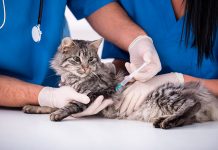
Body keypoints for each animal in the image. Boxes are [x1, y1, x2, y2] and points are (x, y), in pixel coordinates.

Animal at [22, 37, 218, 129]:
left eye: (91, 59)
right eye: (77, 59)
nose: (86, 67)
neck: (75, 80)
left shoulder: (96, 94)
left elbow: (70, 105)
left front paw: (57, 114)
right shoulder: (66, 93)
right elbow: (52, 103)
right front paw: (34, 107)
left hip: (164, 95)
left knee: (192, 104)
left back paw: (167, 122)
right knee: (189, 116)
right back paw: (164, 120)